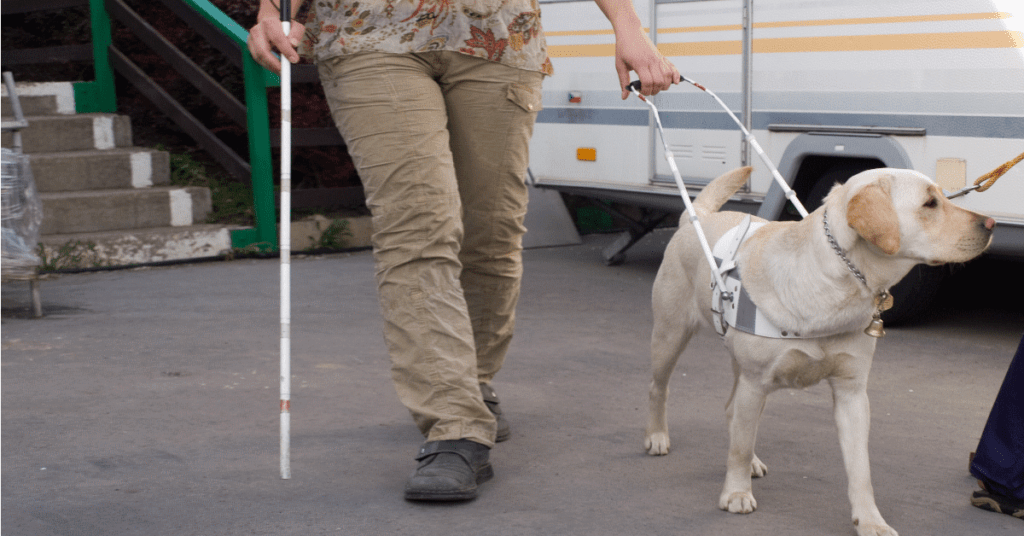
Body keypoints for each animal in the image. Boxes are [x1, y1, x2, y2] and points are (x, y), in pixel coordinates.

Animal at [647, 166, 991, 532]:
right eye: (929, 204)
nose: (991, 224)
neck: (836, 282)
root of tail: (696, 216)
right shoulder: (755, 383)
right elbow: (738, 448)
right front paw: (736, 493)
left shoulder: (852, 393)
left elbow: (861, 469)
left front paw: (870, 520)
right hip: (670, 335)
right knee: (660, 388)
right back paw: (657, 436)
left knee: (732, 411)